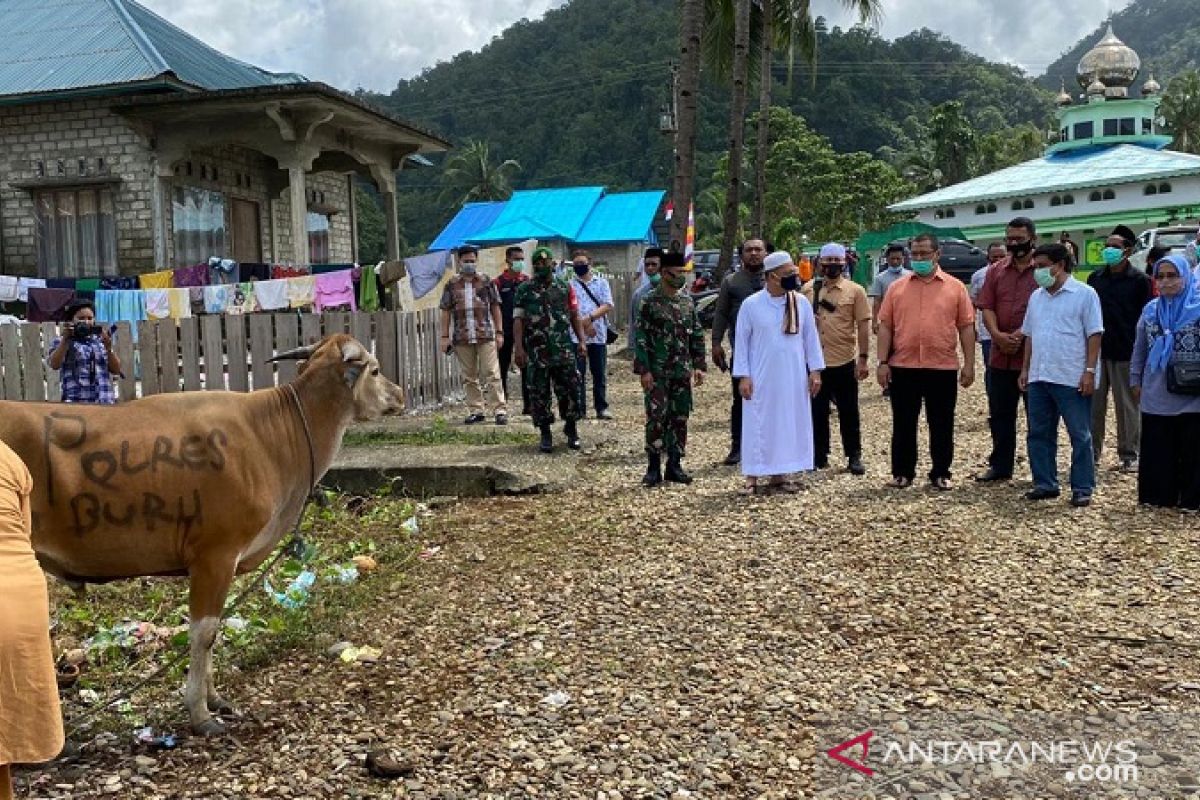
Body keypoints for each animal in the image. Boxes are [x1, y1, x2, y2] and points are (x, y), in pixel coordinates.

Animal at [0, 335, 405, 734]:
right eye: (375, 370)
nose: (399, 394)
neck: (271, 433)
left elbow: (214, 632)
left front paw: (215, 699)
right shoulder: (215, 556)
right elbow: (205, 634)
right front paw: (199, 712)